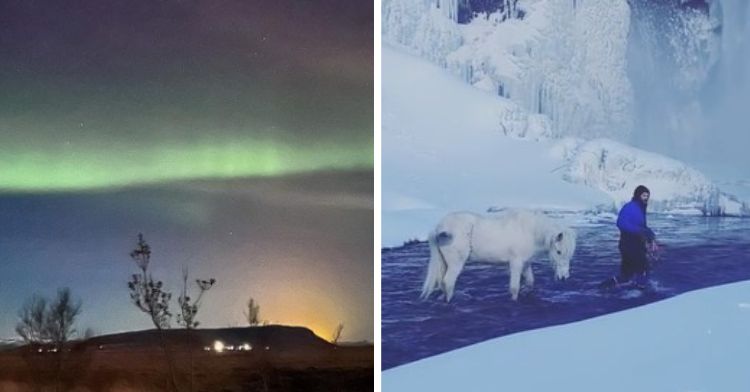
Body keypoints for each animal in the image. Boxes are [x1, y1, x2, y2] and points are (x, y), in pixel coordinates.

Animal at [424, 210, 576, 302]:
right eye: (559, 252)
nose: (564, 278)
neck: (530, 232)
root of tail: (439, 228)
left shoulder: (526, 263)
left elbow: (530, 282)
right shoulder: (515, 263)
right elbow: (514, 288)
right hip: (456, 263)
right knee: (448, 283)